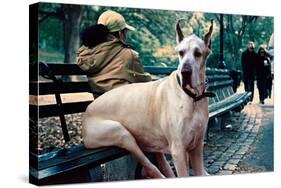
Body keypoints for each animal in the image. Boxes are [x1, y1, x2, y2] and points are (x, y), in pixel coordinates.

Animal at [82, 20, 213, 178]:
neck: (193, 97)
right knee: (148, 165)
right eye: (181, 53)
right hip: (120, 132)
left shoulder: (197, 147)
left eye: (198, 53)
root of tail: (87, 111)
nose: (185, 72)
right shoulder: (179, 150)